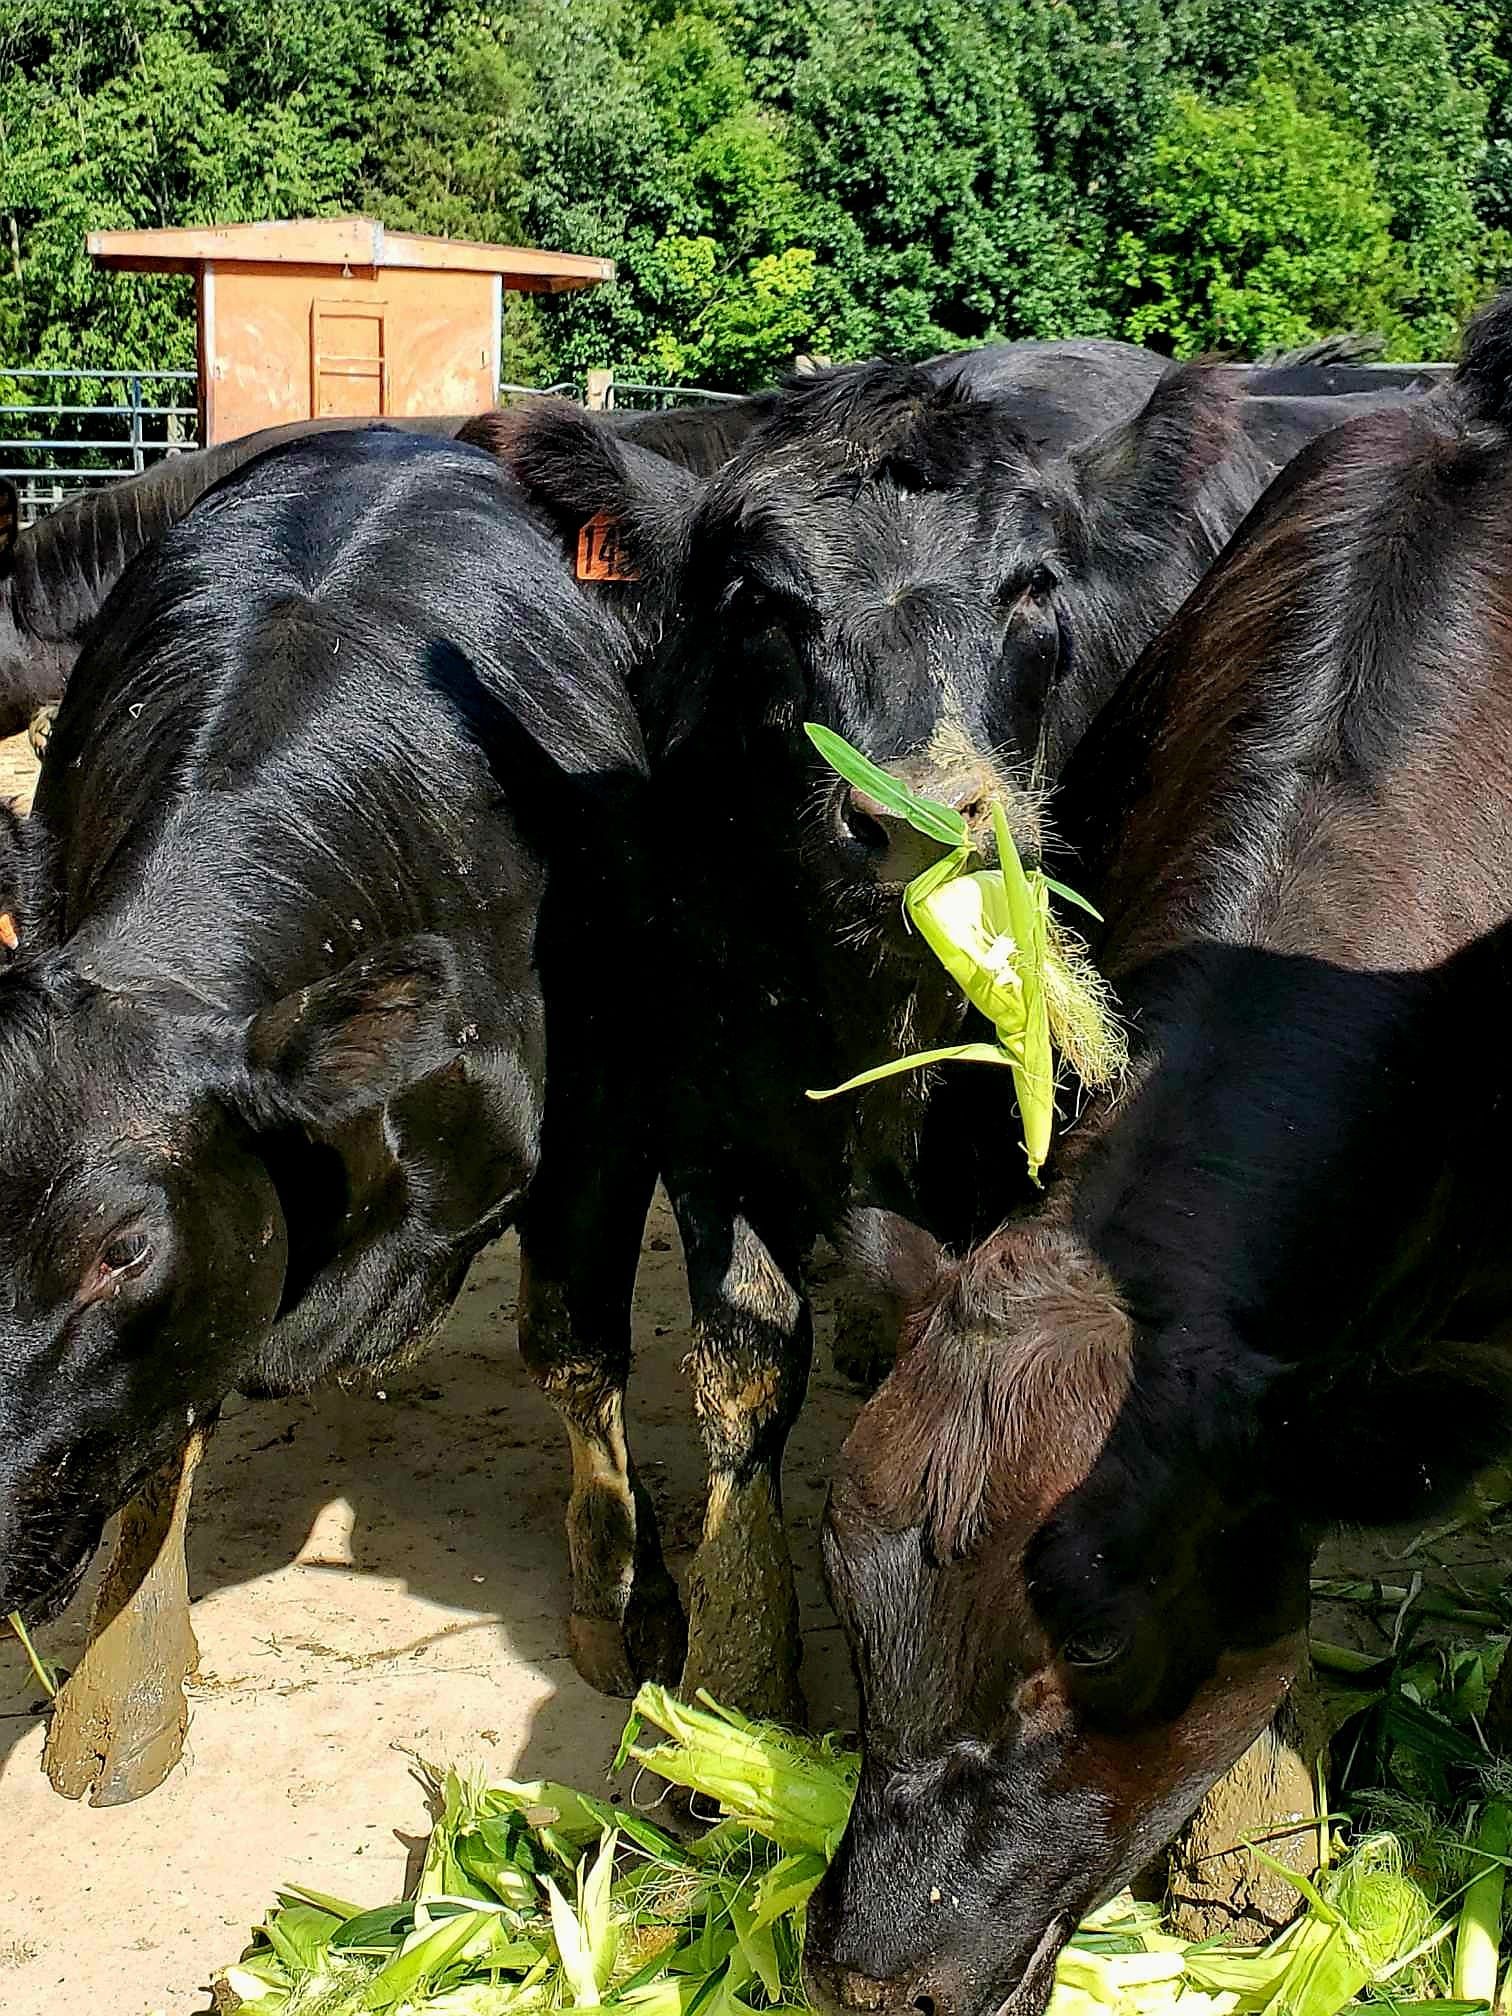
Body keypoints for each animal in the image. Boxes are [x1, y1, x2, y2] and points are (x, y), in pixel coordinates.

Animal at [0, 426, 646, 1806]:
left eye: (122, 1248)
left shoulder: (617, 1105)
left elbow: (575, 1354)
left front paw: (622, 1612)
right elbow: (169, 1421)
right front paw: (123, 1692)